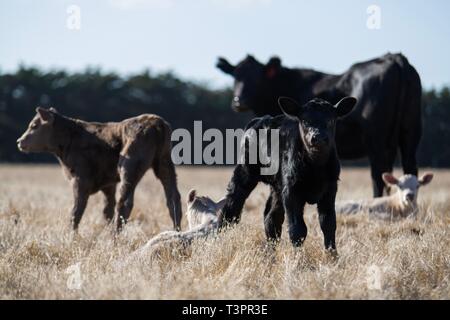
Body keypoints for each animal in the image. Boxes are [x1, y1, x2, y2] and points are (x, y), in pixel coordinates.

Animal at [216, 96, 356, 251]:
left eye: (331, 120)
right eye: (305, 120)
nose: (318, 137)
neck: (316, 168)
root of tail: (261, 119)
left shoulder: (330, 190)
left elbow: (328, 224)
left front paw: (332, 254)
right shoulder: (291, 191)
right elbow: (298, 229)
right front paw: (298, 257)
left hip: (277, 187)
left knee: (271, 218)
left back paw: (270, 253)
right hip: (245, 172)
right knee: (232, 206)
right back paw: (220, 240)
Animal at [217, 53, 422, 196]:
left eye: (257, 77)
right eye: (235, 76)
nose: (239, 101)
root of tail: (394, 57)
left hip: (376, 138)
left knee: (378, 173)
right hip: (410, 132)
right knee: (409, 168)